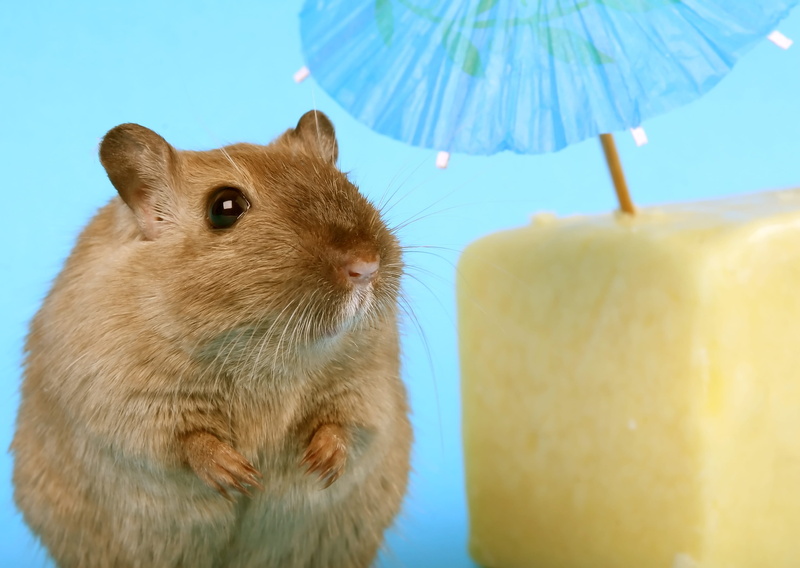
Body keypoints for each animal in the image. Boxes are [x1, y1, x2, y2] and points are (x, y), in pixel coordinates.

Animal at [12, 110, 412, 568]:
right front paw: (241, 476)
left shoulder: (369, 383)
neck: (266, 347)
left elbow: (349, 423)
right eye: (225, 208)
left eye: (345, 181)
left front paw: (320, 463)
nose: (366, 266)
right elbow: (183, 440)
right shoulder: (123, 401)